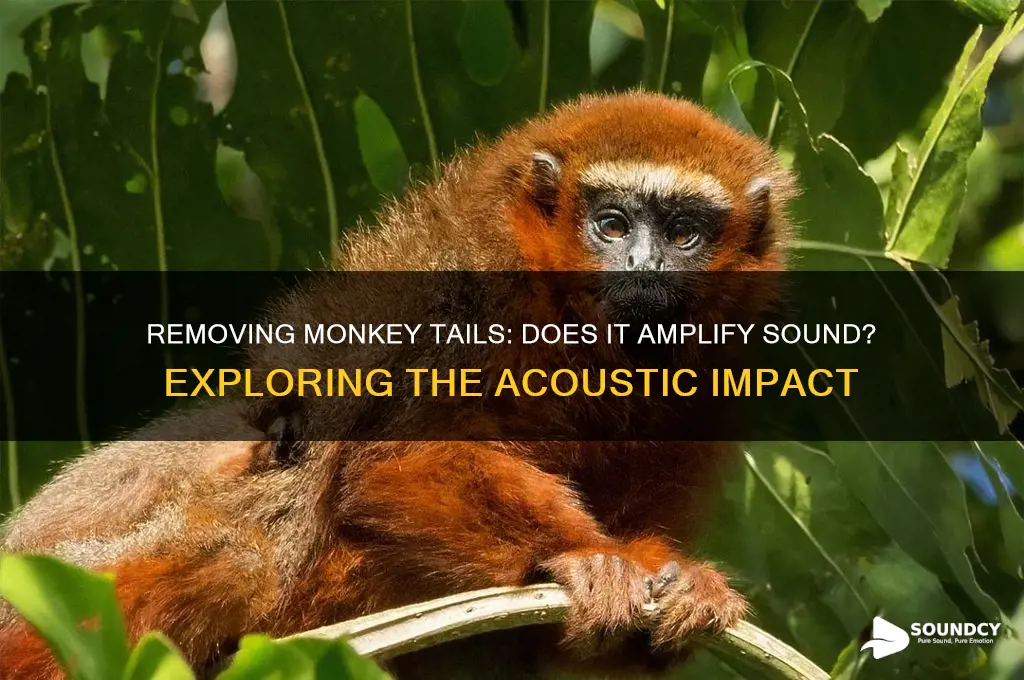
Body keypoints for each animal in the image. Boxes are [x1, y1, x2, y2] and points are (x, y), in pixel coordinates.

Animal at [0, 91, 796, 679]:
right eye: (612, 224)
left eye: (684, 234)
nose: (643, 264)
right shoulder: (476, 299)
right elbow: (397, 464)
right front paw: (584, 559)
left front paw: (676, 578)